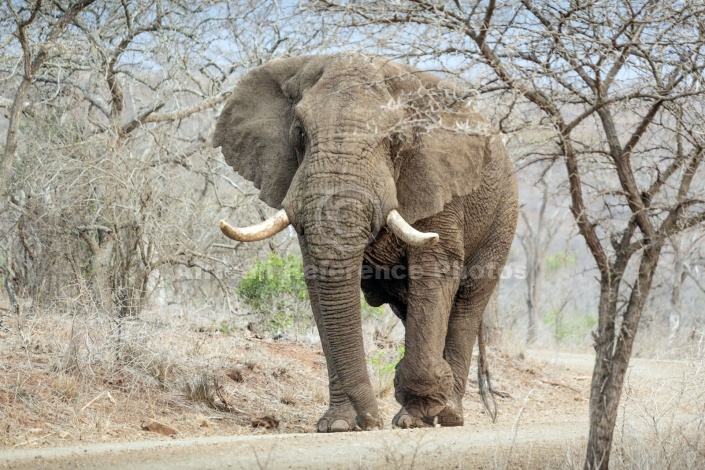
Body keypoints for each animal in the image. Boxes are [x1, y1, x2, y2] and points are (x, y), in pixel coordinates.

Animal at [212, 53, 516, 432]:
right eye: (299, 133)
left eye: (396, 139)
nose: (373, 421)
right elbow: (320, 283)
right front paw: (338, 425)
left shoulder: (438, 181)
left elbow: (435, 270)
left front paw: (416, 415)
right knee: (408, 306)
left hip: (502, 215)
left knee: (466, 303)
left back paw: (447, 415)